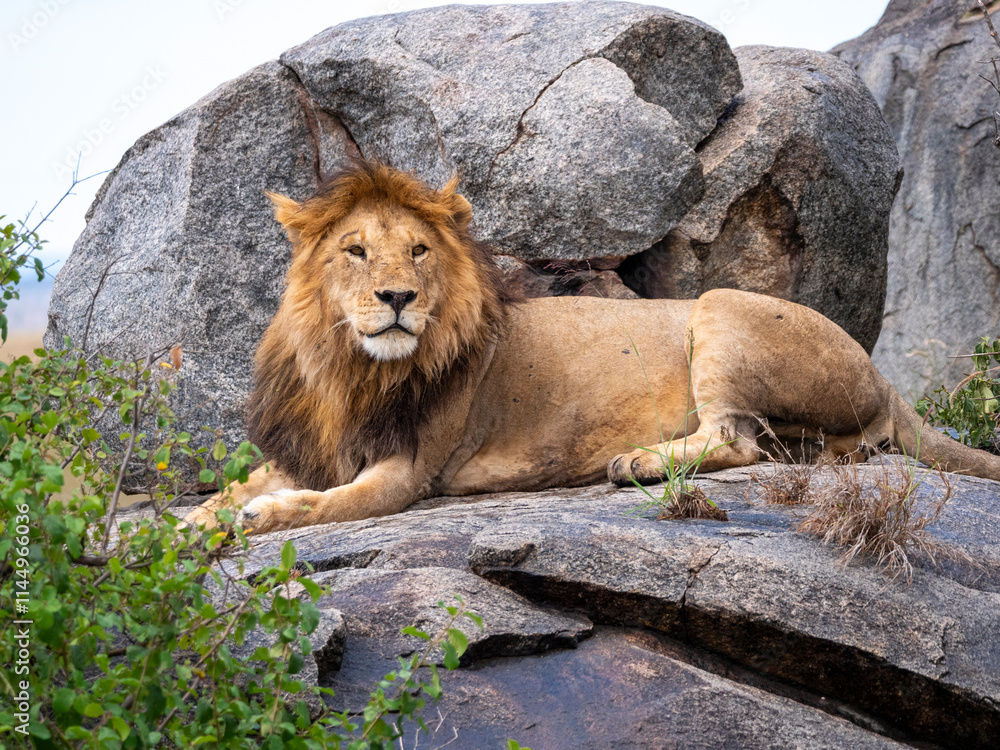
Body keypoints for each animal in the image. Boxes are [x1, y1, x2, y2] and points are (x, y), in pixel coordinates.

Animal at [183, 160, 1000, 534]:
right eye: (354, 251)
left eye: (418, 252)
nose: (397, 299)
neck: (349, 369)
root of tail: (884, 378)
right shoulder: (308, 447)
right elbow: (230, 490)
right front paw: (179, 527)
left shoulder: (408, 471)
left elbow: (321, 505)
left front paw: (259, 520)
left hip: (720, 308)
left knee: (737, 442)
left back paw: (637, 464)